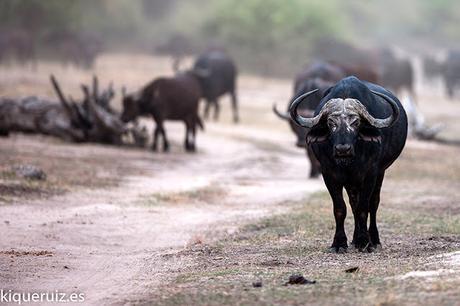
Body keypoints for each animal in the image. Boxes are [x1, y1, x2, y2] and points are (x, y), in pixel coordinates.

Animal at [290, 76, 408, 251]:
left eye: (356, 123)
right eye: (331, 123)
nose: (342, 149)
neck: (349, 161)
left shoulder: (370, 173)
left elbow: (364, 208)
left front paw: (364, 242)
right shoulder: (329, 173)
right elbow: (341, 208)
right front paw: (339, 243)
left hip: (380, 173)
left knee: (373, 203)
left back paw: (374, 240)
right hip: (351, 182)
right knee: (353, 204)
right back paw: (354, 239)